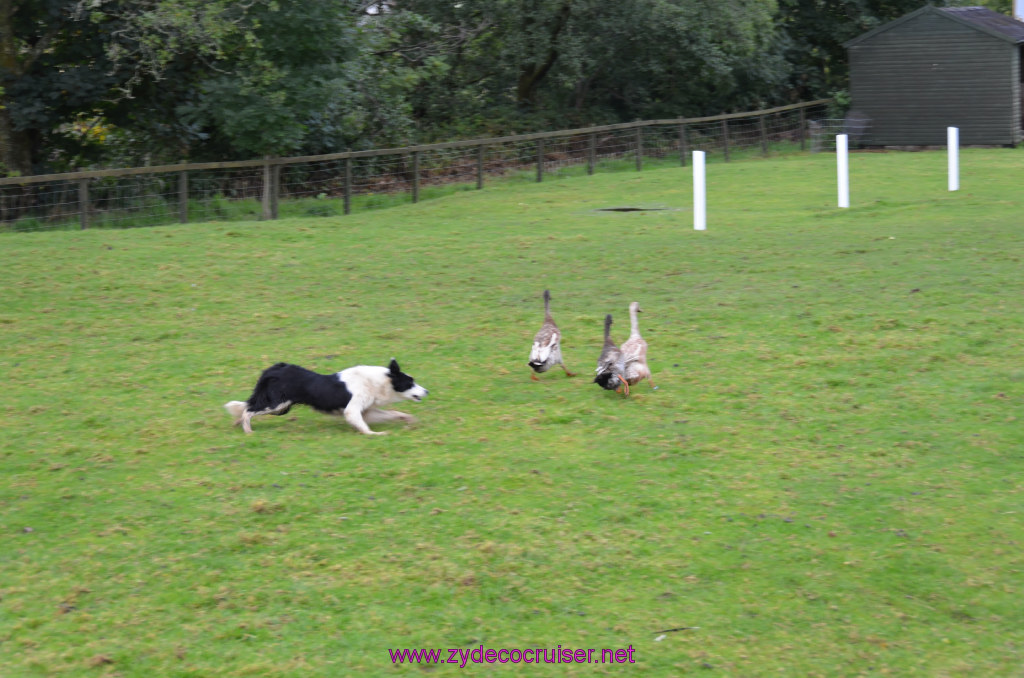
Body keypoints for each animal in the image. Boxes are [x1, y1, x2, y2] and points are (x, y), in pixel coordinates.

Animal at [224, 360, 428, 436]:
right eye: (410, 382)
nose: (426, 391)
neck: (378, 380)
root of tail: (276, 367)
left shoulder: (367, 411)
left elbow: (395, 413)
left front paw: (410, 420)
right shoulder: (352, 410)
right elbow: (364, 426)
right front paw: (376, 435)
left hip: (280, 406)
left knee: (246, 408)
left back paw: (237, 423)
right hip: (277, 405)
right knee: (249, 410)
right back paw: (247, 430)